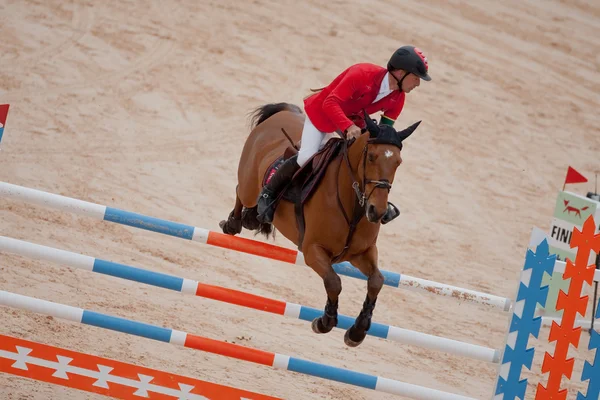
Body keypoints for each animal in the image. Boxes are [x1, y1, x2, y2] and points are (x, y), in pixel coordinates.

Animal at [218, 102, 420, 346]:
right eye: (371, 156)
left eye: (398, 162)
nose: (377, 211)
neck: (354, 206)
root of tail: (285, 111)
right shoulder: (313, 251)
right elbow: (334, 282)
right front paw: (325, 321)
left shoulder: (362, 252)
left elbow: (377, 281)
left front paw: (358, 331)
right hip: (249, 185)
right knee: (241, 192)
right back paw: (234, 223)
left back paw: (251, 219)